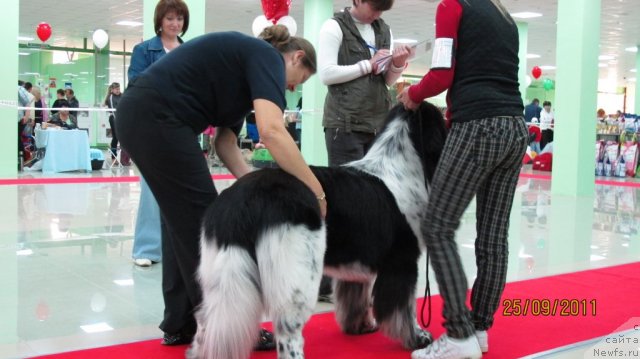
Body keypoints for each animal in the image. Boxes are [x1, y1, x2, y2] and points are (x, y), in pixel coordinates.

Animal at [190, 102, 448, 358]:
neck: (401, 169)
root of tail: (244, 200)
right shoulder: (402, 261)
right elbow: (404, 308)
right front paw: (418, 338)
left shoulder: (357, 262)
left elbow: (356, 296)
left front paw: (361, 327)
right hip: (297, 273)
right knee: (288, 329)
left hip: (221, 270)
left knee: (205, 320)